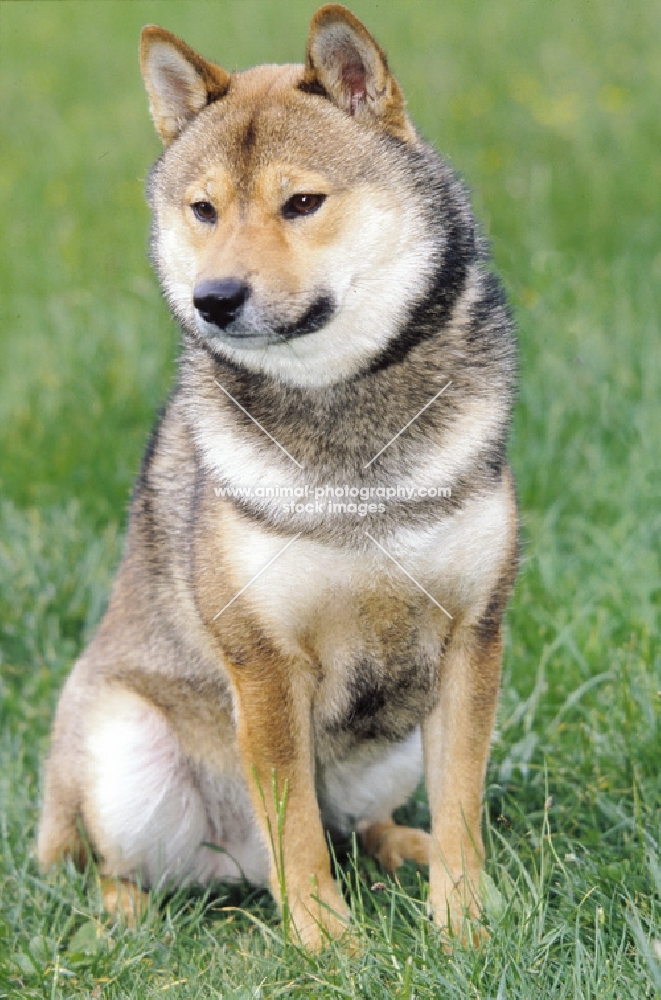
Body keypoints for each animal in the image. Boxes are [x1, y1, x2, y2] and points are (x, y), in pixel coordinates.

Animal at [38, 1, 520, 952]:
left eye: (301, 203)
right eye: (203, 210)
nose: (213, 299)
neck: (345, 416)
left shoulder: (470, 637)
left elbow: (459, 806)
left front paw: (465, 928)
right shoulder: (263, 664)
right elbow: (293, 829)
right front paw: (330, 946)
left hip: (390, 745)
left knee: (356, 825)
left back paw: (401, 849)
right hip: (122, 753)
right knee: (112, 865)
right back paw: (127, 917)